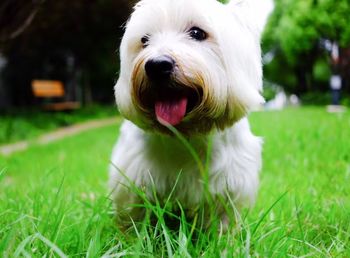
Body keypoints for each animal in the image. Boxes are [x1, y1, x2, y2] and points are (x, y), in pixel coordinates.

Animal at [108, 0, 262, 230]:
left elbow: (223, 218)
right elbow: (135, 214)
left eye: (197, 32)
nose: (157, 65)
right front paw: (132, 236)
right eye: (144, 40)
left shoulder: (229, 181)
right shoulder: (135, 177)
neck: (186, 134)